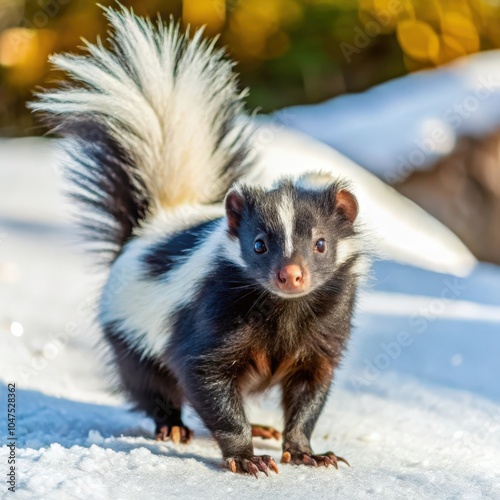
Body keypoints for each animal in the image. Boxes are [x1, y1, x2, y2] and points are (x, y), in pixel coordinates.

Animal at [31, 5, 368, 478]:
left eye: (320, 243)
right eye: (259, 245)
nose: (291, 275)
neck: (284, 312)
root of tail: (159, 219)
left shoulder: (323, 332)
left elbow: (310, 390)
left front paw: (306, 452)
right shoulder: (210, 313)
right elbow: (206, 376)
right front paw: (246, 458)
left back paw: (261, 426)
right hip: (130, 332)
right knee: (149, 382)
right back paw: (172, 426)